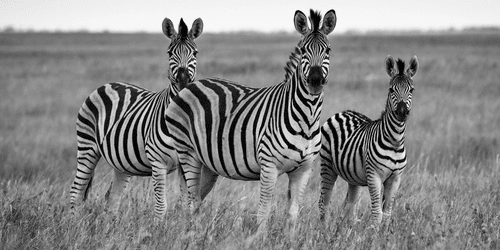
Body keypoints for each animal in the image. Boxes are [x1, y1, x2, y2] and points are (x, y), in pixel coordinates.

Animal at [69, 17, 204, 217]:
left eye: (195, 52)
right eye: (170, 53)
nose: (183, 81)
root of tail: (107, 84)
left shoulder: (186, 162)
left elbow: (186, 204)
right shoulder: (158, 162)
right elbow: (161, 206)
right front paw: (160, 226)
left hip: (120, 162)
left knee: (112, 198)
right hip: (87, 147)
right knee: (76, 192)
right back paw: (72, 223)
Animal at [166, 8, 338, 233]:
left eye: (328, 50)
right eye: (303, 51)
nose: (316, 81)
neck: (306, 119)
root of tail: (189, 86)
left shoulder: (304, 170)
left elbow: (293, 215)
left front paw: (289, 239)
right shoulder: (269, 165)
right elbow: (264, 212)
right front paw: (260, 237)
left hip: (208, 164)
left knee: (196, 199)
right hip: (188, 152)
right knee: (191, 199)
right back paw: (192, 233)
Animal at [318, 55, 420, 228]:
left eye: (411, 90)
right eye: (391, 90)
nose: (402, 112)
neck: (395, 141)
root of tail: (342, 112)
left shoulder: (395, 178)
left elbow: (387, 214)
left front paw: (384, 235)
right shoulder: (374, 176)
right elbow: (377, 213)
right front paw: (374, 234)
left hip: (353, 177)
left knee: (349, 206)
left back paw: (345, 230)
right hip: (327, 167)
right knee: (324, 202)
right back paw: (323, 230)